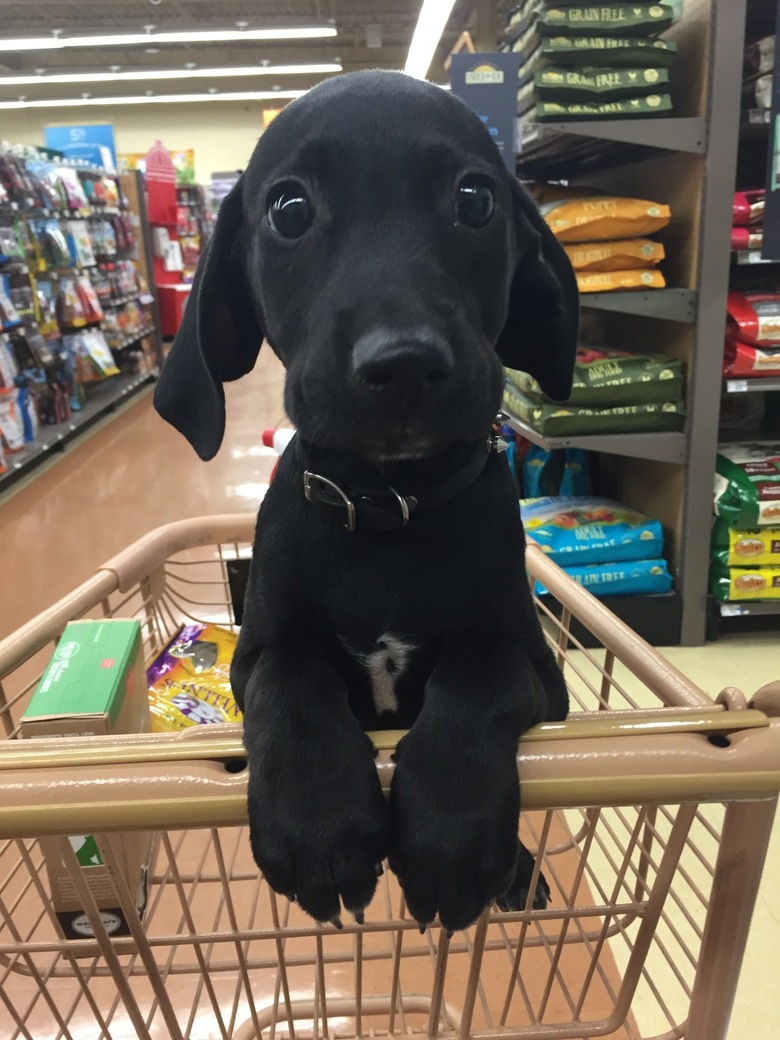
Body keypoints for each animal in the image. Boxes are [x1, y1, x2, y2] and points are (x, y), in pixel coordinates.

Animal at [156, 69, 578, 931]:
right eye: (289, 209)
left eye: (476, 199)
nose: (404, 363)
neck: (387, 511)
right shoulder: (254, 655)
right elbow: (293, 680)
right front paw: (318, 821)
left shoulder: (542, 673)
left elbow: (480, 671)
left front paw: (449, 833)